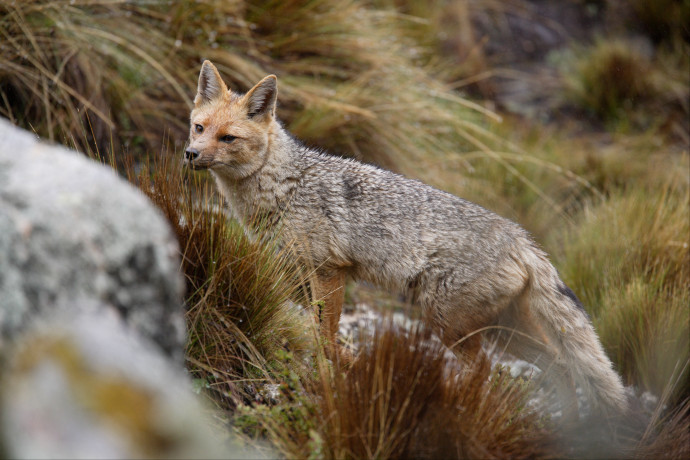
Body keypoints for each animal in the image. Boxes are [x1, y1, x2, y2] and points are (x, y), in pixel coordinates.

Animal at [185, 59, 628, 422]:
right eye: (199, 127)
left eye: (228, 138)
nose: (190, 154)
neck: (284, 189)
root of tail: (521, 238)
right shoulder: (293, 276)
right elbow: (310, 332)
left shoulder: (329, 273)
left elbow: (325, 338)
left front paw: (348, 368)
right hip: (501, 329)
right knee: (560, 365)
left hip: (449, 324)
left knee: (487, 371)